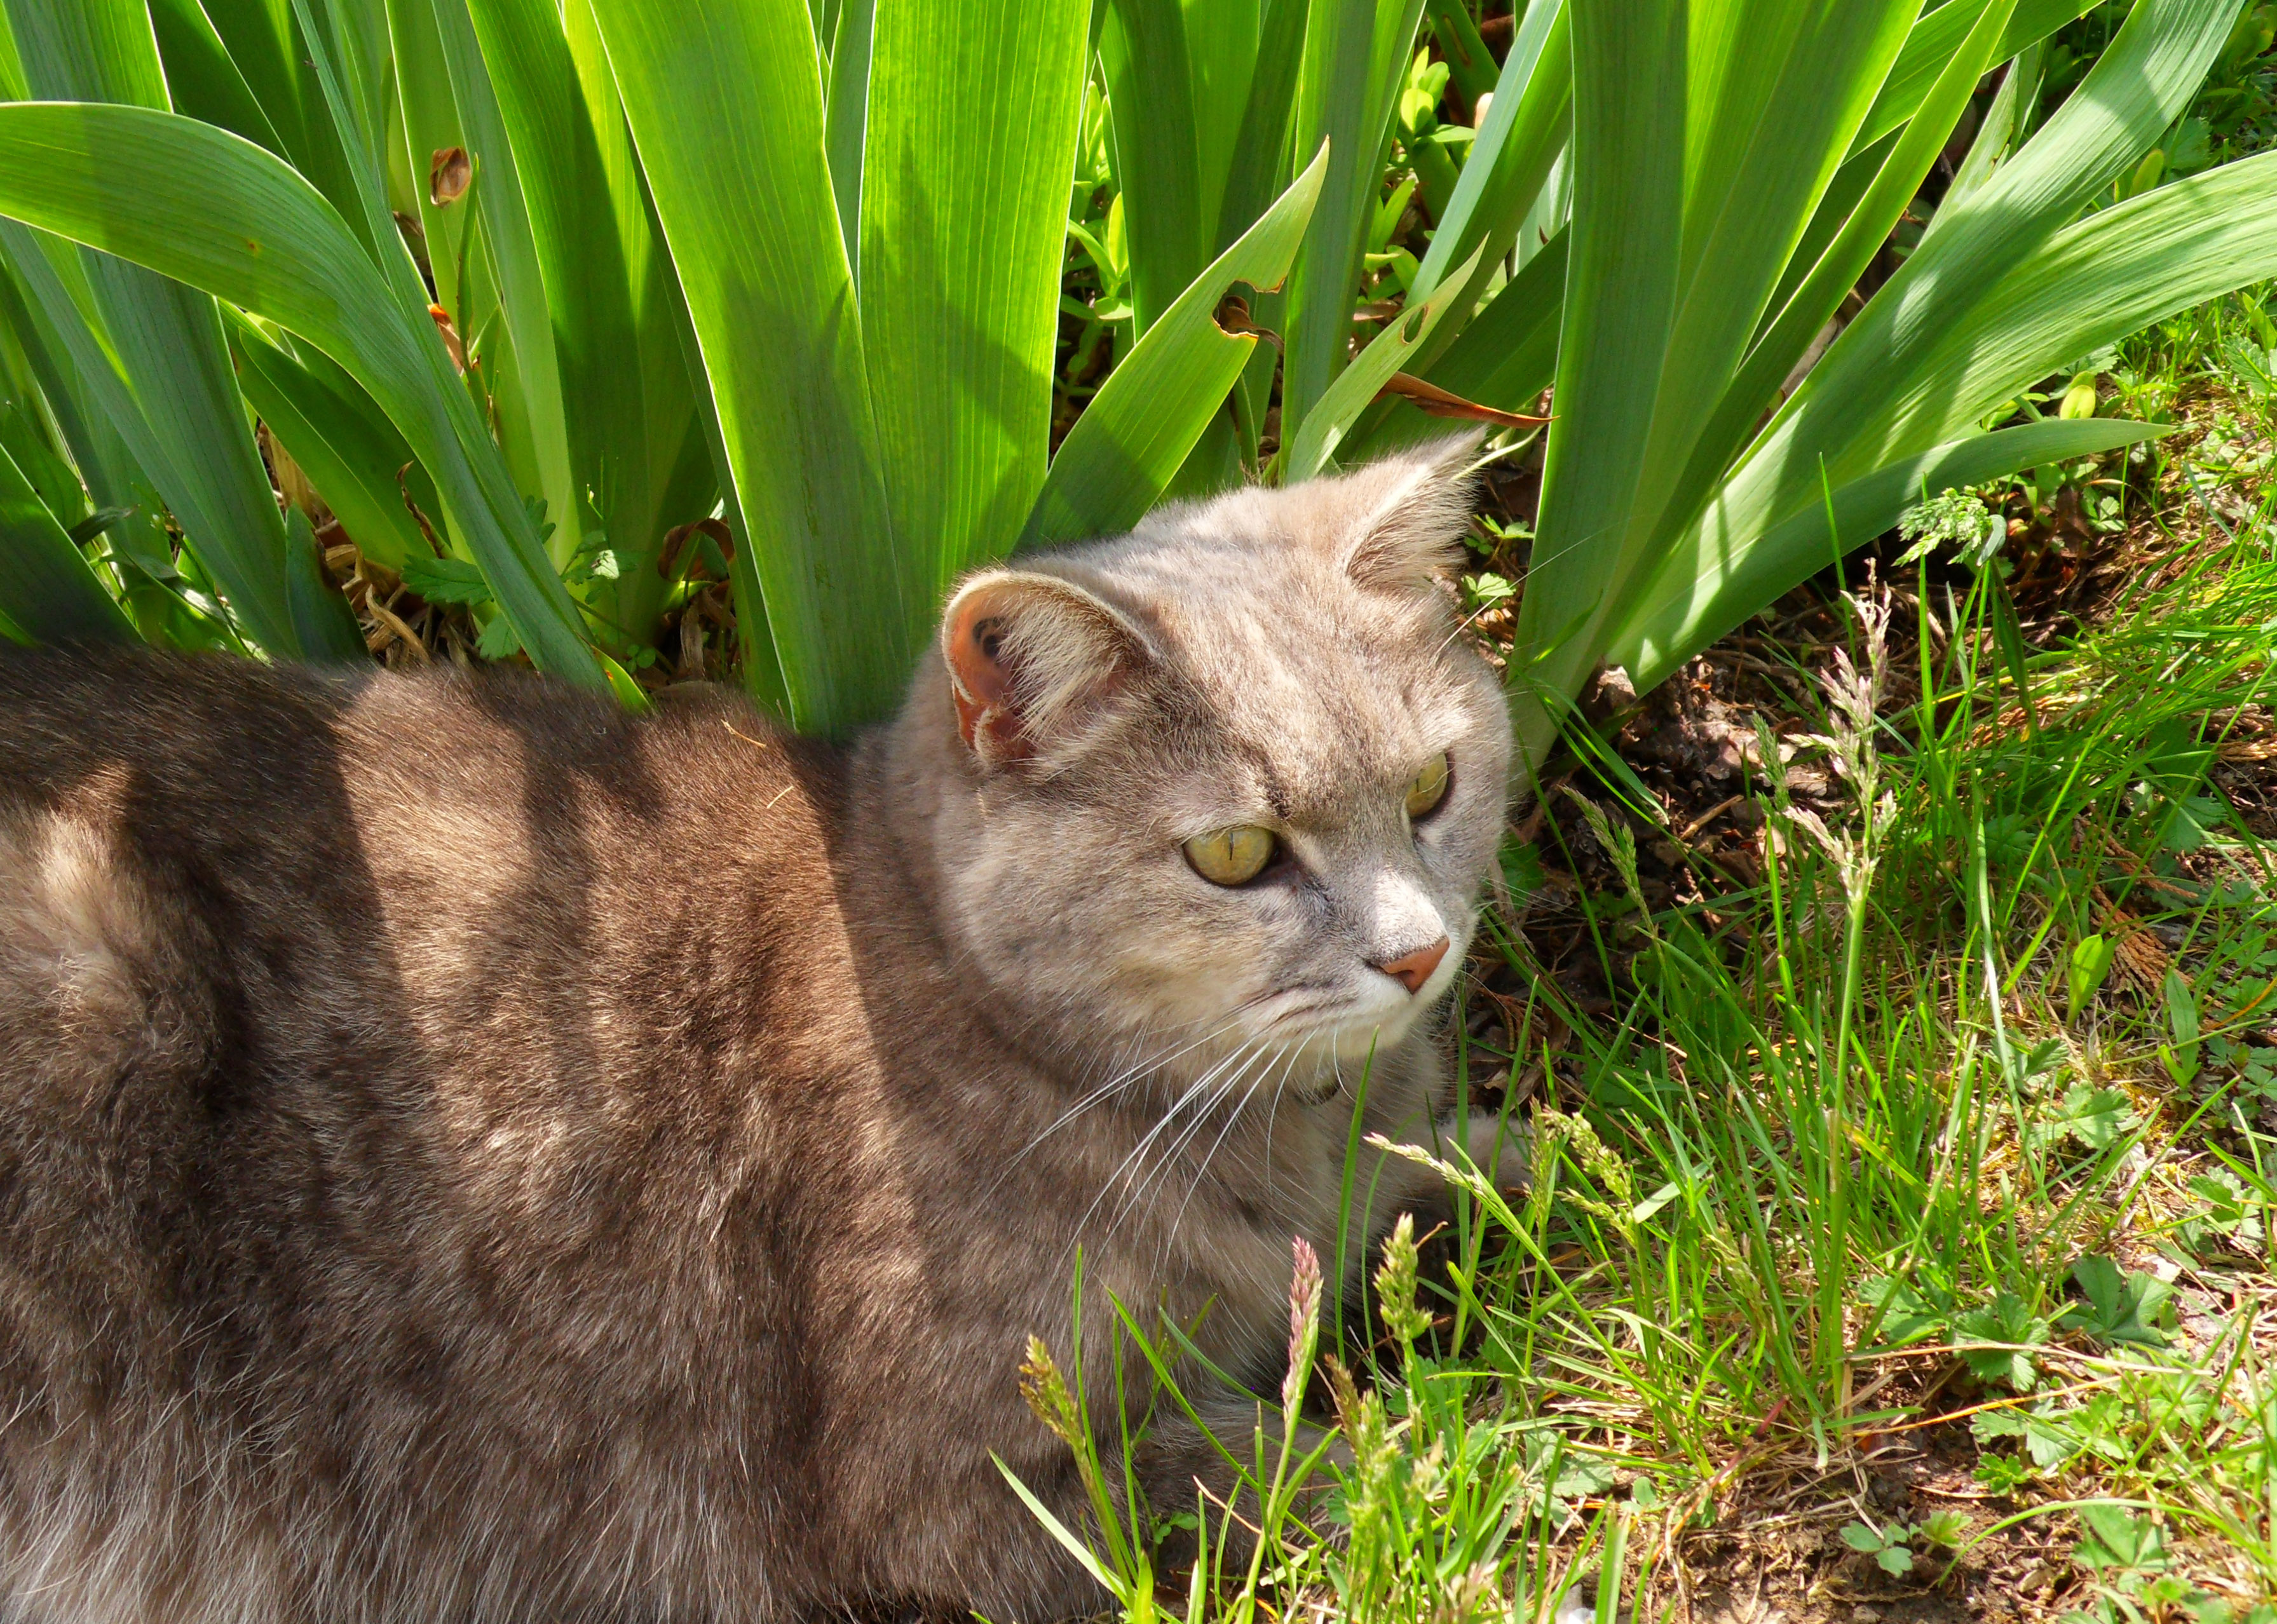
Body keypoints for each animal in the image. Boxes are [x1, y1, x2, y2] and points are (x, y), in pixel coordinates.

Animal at [0, 437, 1512, 1613]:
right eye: (1237, 855)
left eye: (1431, 786)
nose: (1416, 951)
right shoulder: (968, 1491)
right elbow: (1308, 1467)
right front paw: (1470, 1474)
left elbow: (1450, 1173)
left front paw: (1539, 1165)